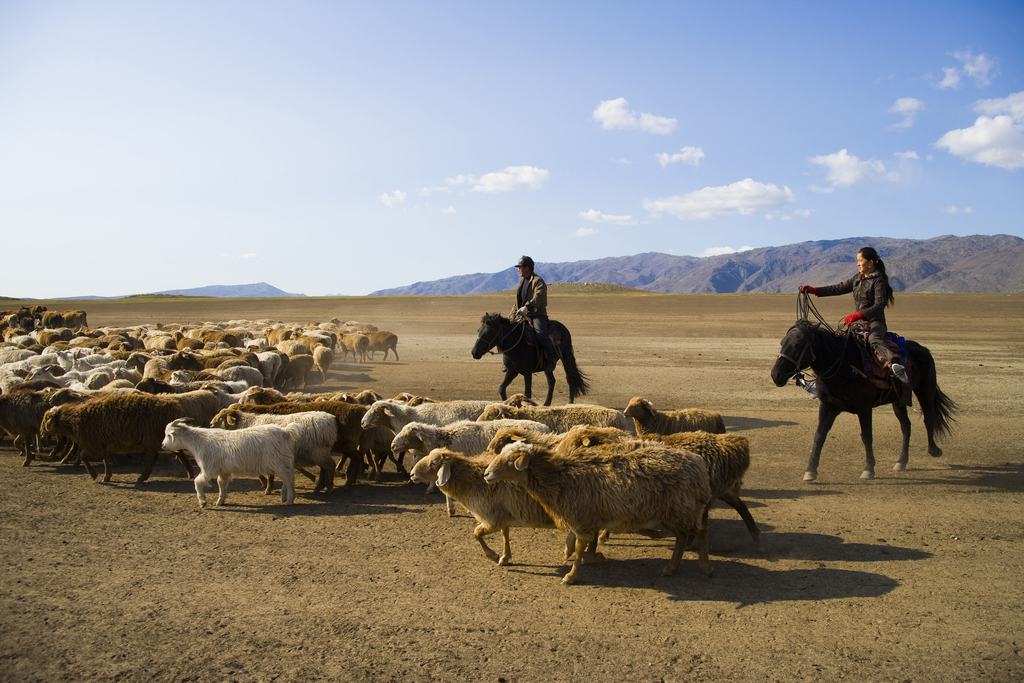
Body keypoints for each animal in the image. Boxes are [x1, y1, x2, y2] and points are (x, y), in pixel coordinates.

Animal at [770, 319, 954, 481]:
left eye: (797, 344)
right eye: (782, 343)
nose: (776, 374)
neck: (844, 368)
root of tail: (923, 349)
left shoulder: (864, 408)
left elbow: (866, 436)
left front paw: (869, 469)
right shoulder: (828, 406)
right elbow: (819, 436)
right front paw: (810, 471)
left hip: (925, 390)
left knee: (928, 418)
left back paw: (934, 450)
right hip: (898, 400)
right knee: (906, 426)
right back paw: (901, 461)